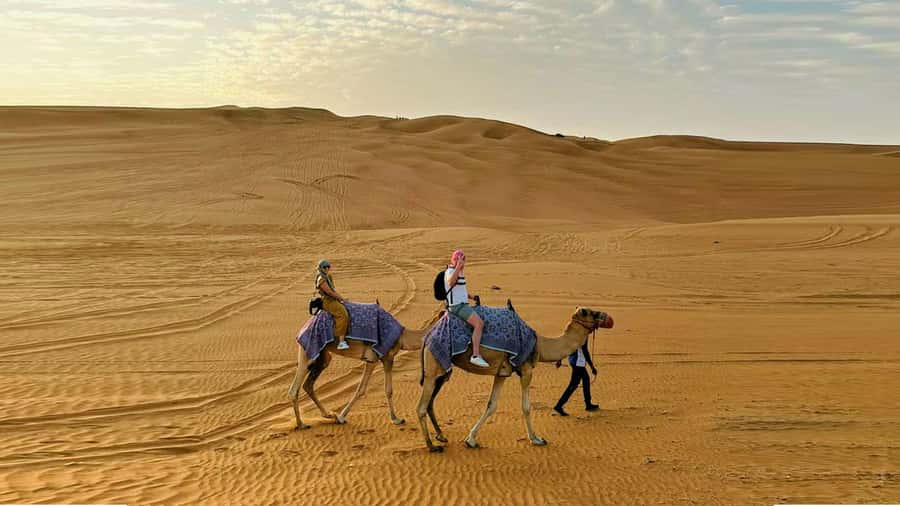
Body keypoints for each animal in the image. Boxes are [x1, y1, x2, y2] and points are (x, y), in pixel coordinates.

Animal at [288, 307, 442, 429]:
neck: (403, 337)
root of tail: (305, 326)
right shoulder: (375, 358)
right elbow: (363, 389)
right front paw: (341, 417)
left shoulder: (386, 359)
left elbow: (388, 390)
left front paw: (396, 419)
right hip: (307, 351)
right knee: (294, 388)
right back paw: (301, 424)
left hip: (323, 356)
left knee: (308, 384)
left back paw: (327, 414)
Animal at [416, 306, 614, 452]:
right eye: (590, 312)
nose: (608, 318)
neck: (540, 344)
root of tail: (428, 335)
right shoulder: (526, 370)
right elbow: (526, 407)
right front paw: (536, 439)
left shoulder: (501, 373)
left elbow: (492, 405)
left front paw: (470, 440)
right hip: (433, 368)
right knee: (421, 407)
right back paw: (431, 446)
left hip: (443, 372)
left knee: (431, 402)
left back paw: (441, 436)